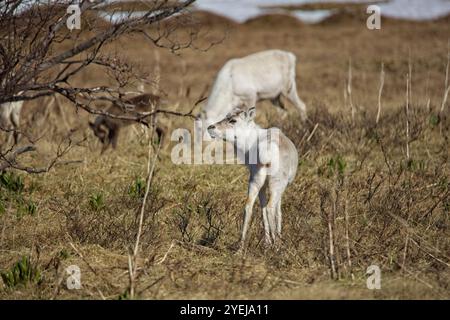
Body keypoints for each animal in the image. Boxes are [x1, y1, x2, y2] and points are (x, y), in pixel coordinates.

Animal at [207, 107, 298, 248]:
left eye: (233, 120)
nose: (210, 128)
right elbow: (278, 211)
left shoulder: (262, 187)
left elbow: (262, 209)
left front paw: (267, 241)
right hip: (276, 184)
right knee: (270, 208)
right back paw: (277, 245)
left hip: (255, 181)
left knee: (248, 207)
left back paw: (242, 245)